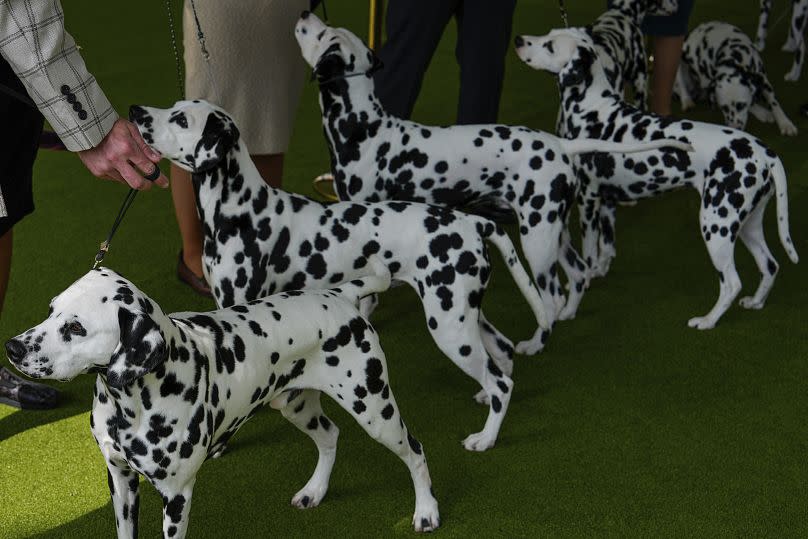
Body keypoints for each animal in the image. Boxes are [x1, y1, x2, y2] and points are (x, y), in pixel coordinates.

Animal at [4, 268, 442, 536]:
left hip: (375, 409)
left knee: (416, 450)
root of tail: (339, 294)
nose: (12, 348)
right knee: (330, 435)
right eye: (51, 310)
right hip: (295, 406)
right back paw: (315, 491)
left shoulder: (177, 497)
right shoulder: (120, 480)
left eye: (76, 327)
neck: (132, 406)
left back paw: (426, 511)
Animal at [131, 100, 556, 452]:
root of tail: (471, 222)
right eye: (173, 105)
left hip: (450, 327)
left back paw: (485, 438)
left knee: (501, 381)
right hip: (463, 314)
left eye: (181, 118)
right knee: (502, 354)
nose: (136, 111)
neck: (243, 212)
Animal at [294, 11, 692, 324]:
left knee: (553, 293)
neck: (364, 128)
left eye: (323, 35)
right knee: (578, 275)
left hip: (537, 240)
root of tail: (559, 144)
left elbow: (366, 298)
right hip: (552, 230)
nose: (304, 13)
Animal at [516, 29, 800, 332]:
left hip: (716, 227)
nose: (519, 41)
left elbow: (589, 252)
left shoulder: (588, 200)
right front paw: (601, 269)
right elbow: (607, 245)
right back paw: (756, 302)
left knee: (731, 283)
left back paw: (707, 320)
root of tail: (763, 150)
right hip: (747, 226)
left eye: (549, 45)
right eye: (547, 34)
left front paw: (585, 279)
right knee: (770, 265)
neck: (593, 110)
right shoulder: (608, 201)